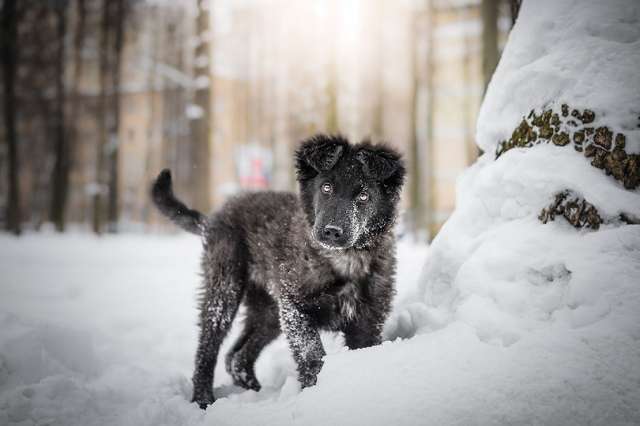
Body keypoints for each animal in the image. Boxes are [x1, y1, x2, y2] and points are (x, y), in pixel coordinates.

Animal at [151, 135, 404, 408]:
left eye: (364, 196)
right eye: (326, 188)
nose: (332, 231)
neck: (344, 260)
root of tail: (215, 218)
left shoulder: (368, 320)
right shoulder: (294, 308)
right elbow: (312, 353)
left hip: (269, 311)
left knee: (237, 357)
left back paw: (253, 390)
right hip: (225, 288)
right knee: (208, 346)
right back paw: (203, 399)